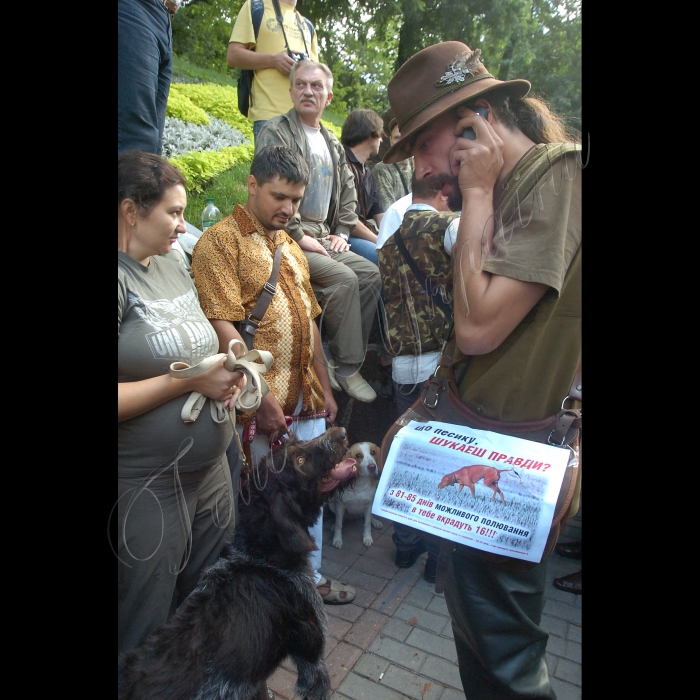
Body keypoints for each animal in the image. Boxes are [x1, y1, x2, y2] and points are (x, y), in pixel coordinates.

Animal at [119, 424, 356, 700]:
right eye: (300, 461)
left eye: (296, 443)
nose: (341, 431)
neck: (261, 556)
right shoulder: (312, 662)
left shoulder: (252, 683)